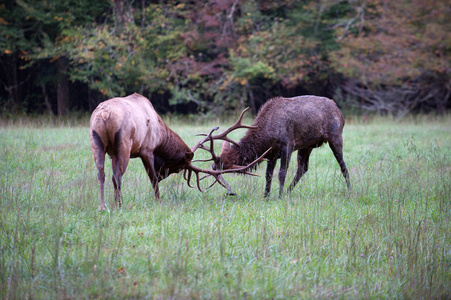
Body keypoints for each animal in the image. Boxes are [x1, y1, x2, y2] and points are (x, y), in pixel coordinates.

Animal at [90, 92, 268, 210]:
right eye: (182, 165)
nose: (163, 175)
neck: (161, 136)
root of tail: (104, 114)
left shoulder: (116, 153)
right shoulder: (147, 149)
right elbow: (153, 180)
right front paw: (158, 201)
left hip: (96, 143)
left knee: (102, 174)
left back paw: (103, 206)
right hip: (124, 144)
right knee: (117, 176)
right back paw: (119, 204)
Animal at [212, 96, 354, 198]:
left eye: (228, 162)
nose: (213, 166)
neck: (266, 136)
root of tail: (339, 111)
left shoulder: (288, 145)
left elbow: (281, 173)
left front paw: (279, 196)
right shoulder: (271, 153)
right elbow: (268, 175)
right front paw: (266, 196)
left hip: (335, 136)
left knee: (343, 166)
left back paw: (350, 190)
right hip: (306, 145)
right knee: (303, 168)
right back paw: (288, 191)